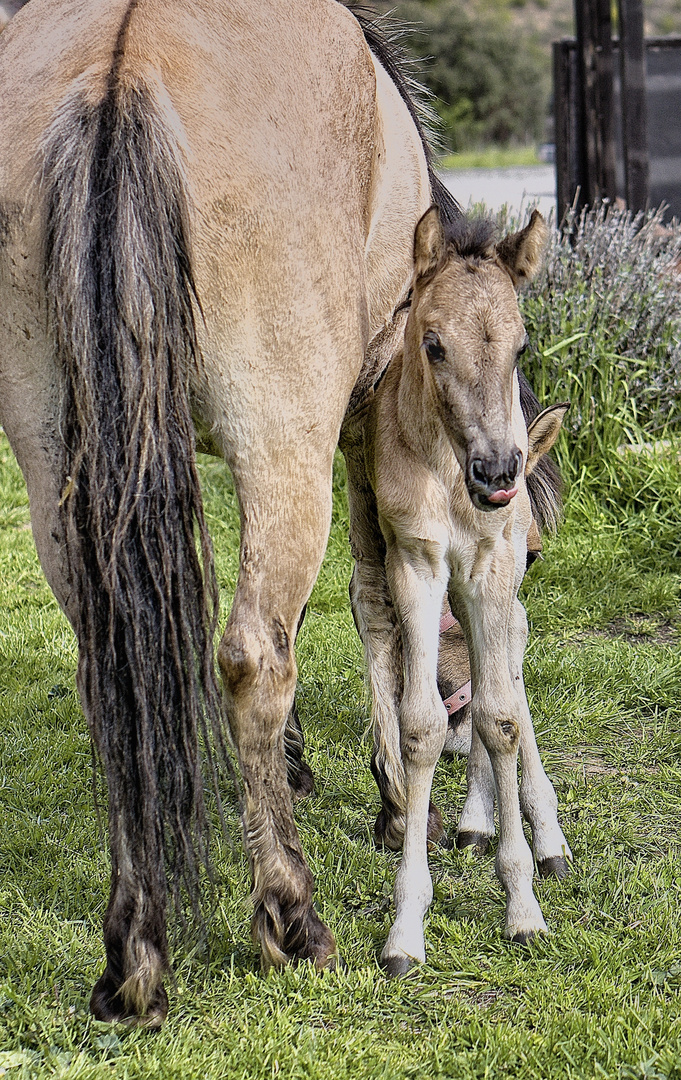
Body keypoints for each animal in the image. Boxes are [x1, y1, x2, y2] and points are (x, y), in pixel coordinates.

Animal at [349, 206, 574, 976]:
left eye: (522, 344)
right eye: (434, 343)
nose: (498, 470)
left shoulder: (492, 565)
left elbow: (503, 716)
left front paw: (524, 905)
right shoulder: (416, 563)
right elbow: (419, 725)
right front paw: (404, 929)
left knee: (507, 680)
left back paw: (544, 835)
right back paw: (478, 822)